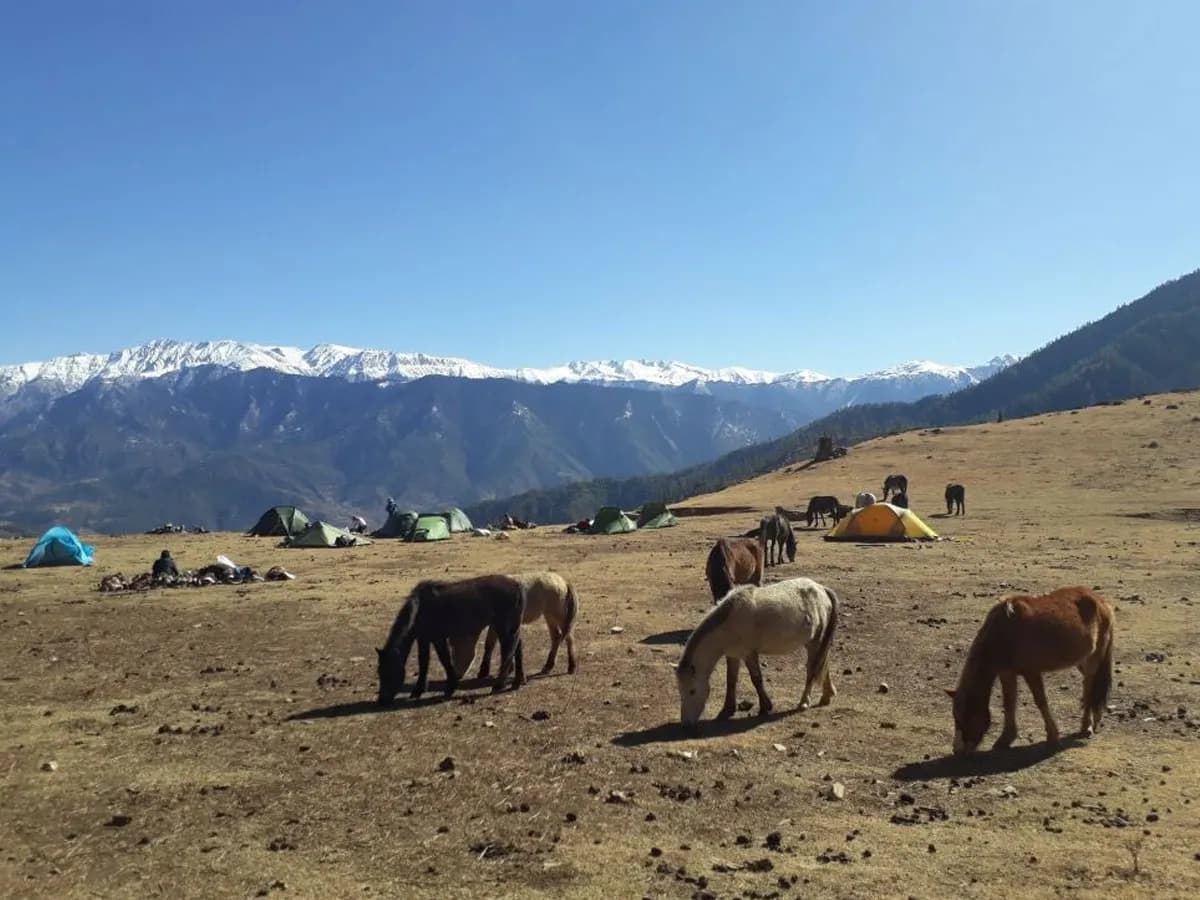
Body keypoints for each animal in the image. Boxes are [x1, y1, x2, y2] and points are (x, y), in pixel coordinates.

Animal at [376, 574, 526, 704]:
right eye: (380, 672)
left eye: (390, 672)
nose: (382, 701)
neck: (420, 608)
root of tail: (516, 585)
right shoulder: (423, 639)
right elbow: (423, 663)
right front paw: (418, 690)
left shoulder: (438, 638)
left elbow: (444, 660)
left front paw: (450, 687)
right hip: (509, 627)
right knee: (517, 648)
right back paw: (517, 681)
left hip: (504, 627)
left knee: (509, 651)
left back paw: (499, 685)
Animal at [674, 577, 839, 728]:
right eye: (680, 690)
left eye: (692, 691)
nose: (686, 724)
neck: (728, 625)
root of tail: (821, 589)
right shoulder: (733, 655)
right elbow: (731, 680)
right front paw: (726, 711)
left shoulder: (749, 654)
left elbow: (756, 679)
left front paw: (765, 707)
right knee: (823, 665)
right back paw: (826, 696)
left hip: (814, 642)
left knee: (812, 670)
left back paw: (804, 702)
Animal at [946, 587, 1114, 754]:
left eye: (965, 715)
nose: (957, 749)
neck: (1004, 633)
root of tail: (1102, 602)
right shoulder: (1006, 673)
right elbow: (1009, 702)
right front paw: (1005, 738)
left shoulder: (1031, 672)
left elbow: (1040, 701)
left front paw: (1053, 737)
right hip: (1081, 661)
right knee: (1089, 684)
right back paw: (1095, 719)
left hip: (1094, 658)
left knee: (1091, 685)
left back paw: (1086, 726)